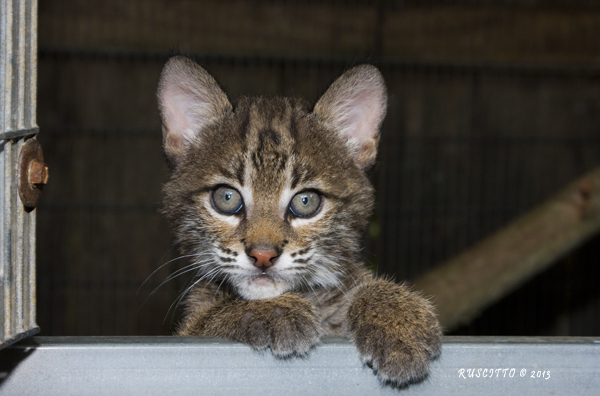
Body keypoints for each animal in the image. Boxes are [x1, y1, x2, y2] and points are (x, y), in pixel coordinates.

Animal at [158, 55, 440, 384]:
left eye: (306, 202)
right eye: (226, 199)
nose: (263, 256)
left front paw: (397, 316)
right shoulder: (188, 329)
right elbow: (205, 320)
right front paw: (271, 311)